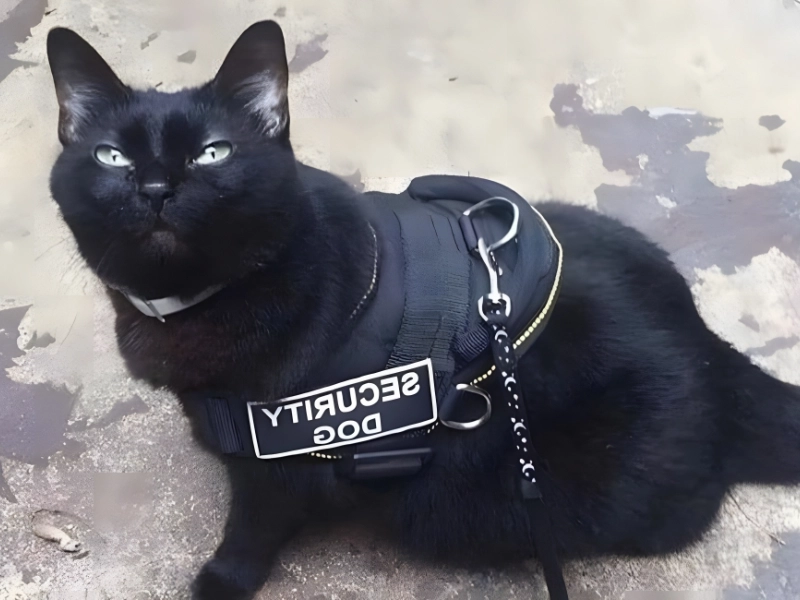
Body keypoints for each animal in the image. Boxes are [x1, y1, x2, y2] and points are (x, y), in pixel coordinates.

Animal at [47, 20, 800, 600]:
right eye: (111, 157)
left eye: (212, 153)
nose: (154, 188)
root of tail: (711, 346)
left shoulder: (281, 467)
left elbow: (251, 529)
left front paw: (220, 581)